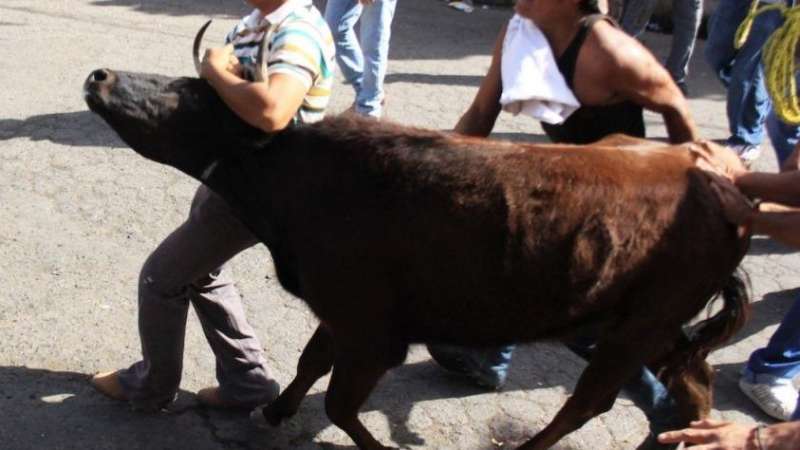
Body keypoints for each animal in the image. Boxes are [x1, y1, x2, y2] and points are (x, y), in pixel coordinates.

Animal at [83, 55, 752, 446]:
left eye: (193, 94)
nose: (101, 76)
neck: (296, 177)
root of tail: (723, 188)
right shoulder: (346, 316)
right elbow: (310, 366)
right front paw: (272, 413)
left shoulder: (372, 332)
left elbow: (340, 405)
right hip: (652, 324)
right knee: (692, 385)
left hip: (637, 327)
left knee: (591, 401)